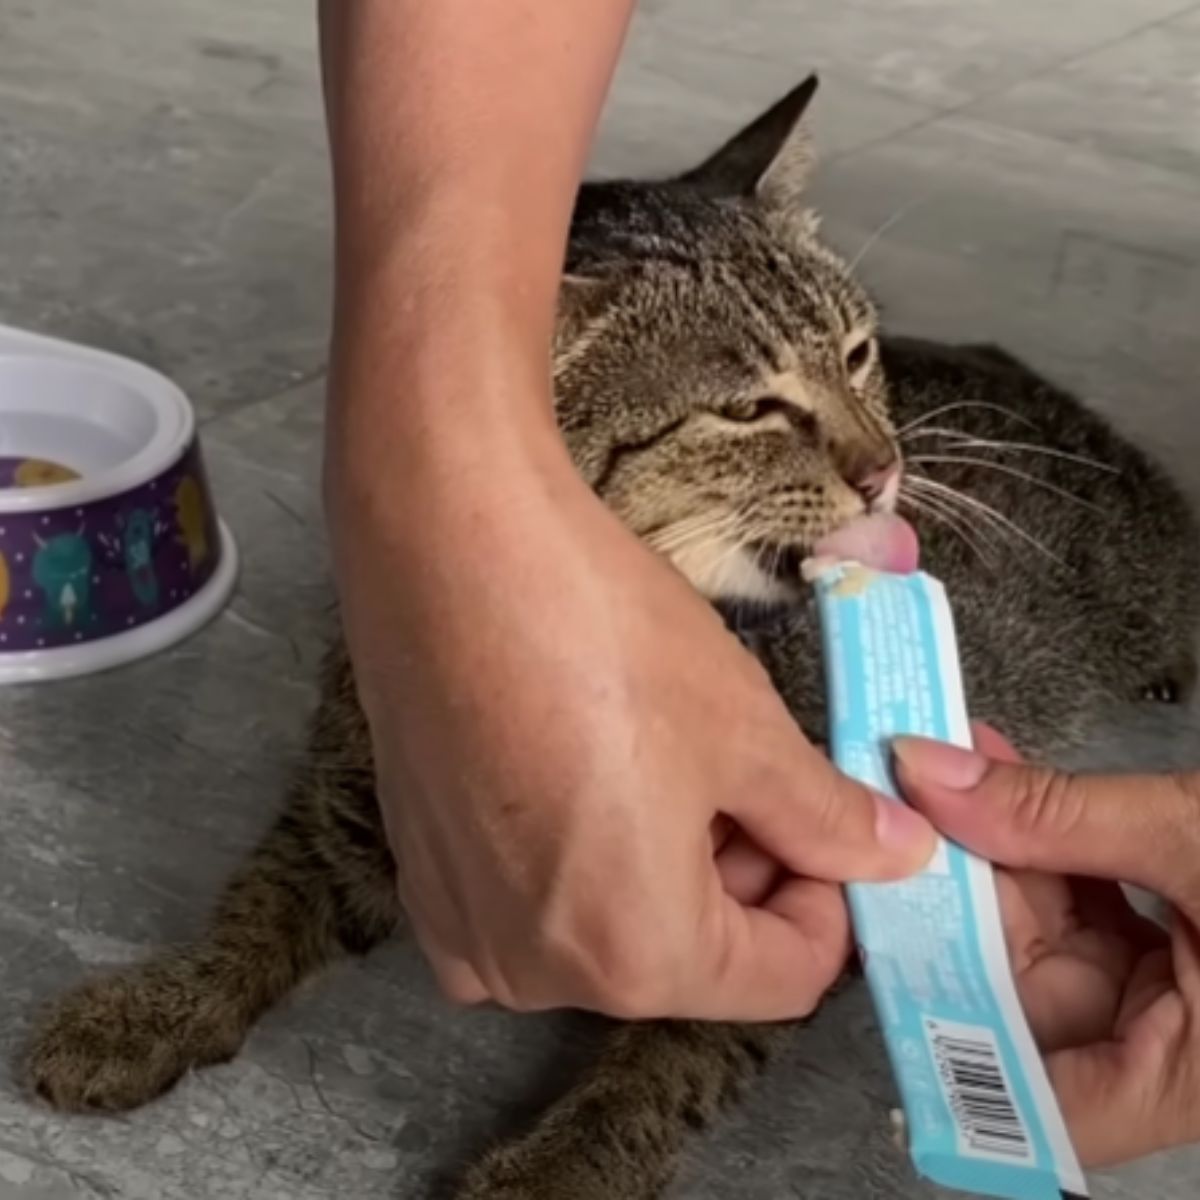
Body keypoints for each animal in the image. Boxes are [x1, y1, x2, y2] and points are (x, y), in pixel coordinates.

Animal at [21, 77, 1200, 1200]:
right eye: (749, 410)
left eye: (859, 355)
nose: (888, 468)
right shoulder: (358, 796)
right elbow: (258, 905)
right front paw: (156, 1004)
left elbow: (672, 1057)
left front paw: (567, 1163)